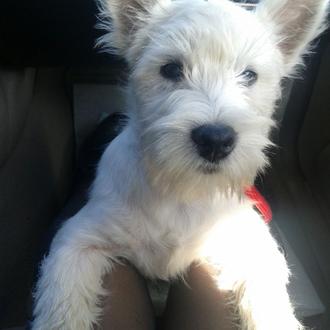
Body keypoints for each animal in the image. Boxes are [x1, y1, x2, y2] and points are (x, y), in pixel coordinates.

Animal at [32, 1, 328, 328]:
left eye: (249, 75)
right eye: (171, 69)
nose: (215, 140)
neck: (181, 189)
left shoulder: (249, 243)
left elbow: (269, 299)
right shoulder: (79, 238)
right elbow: (62, 303)